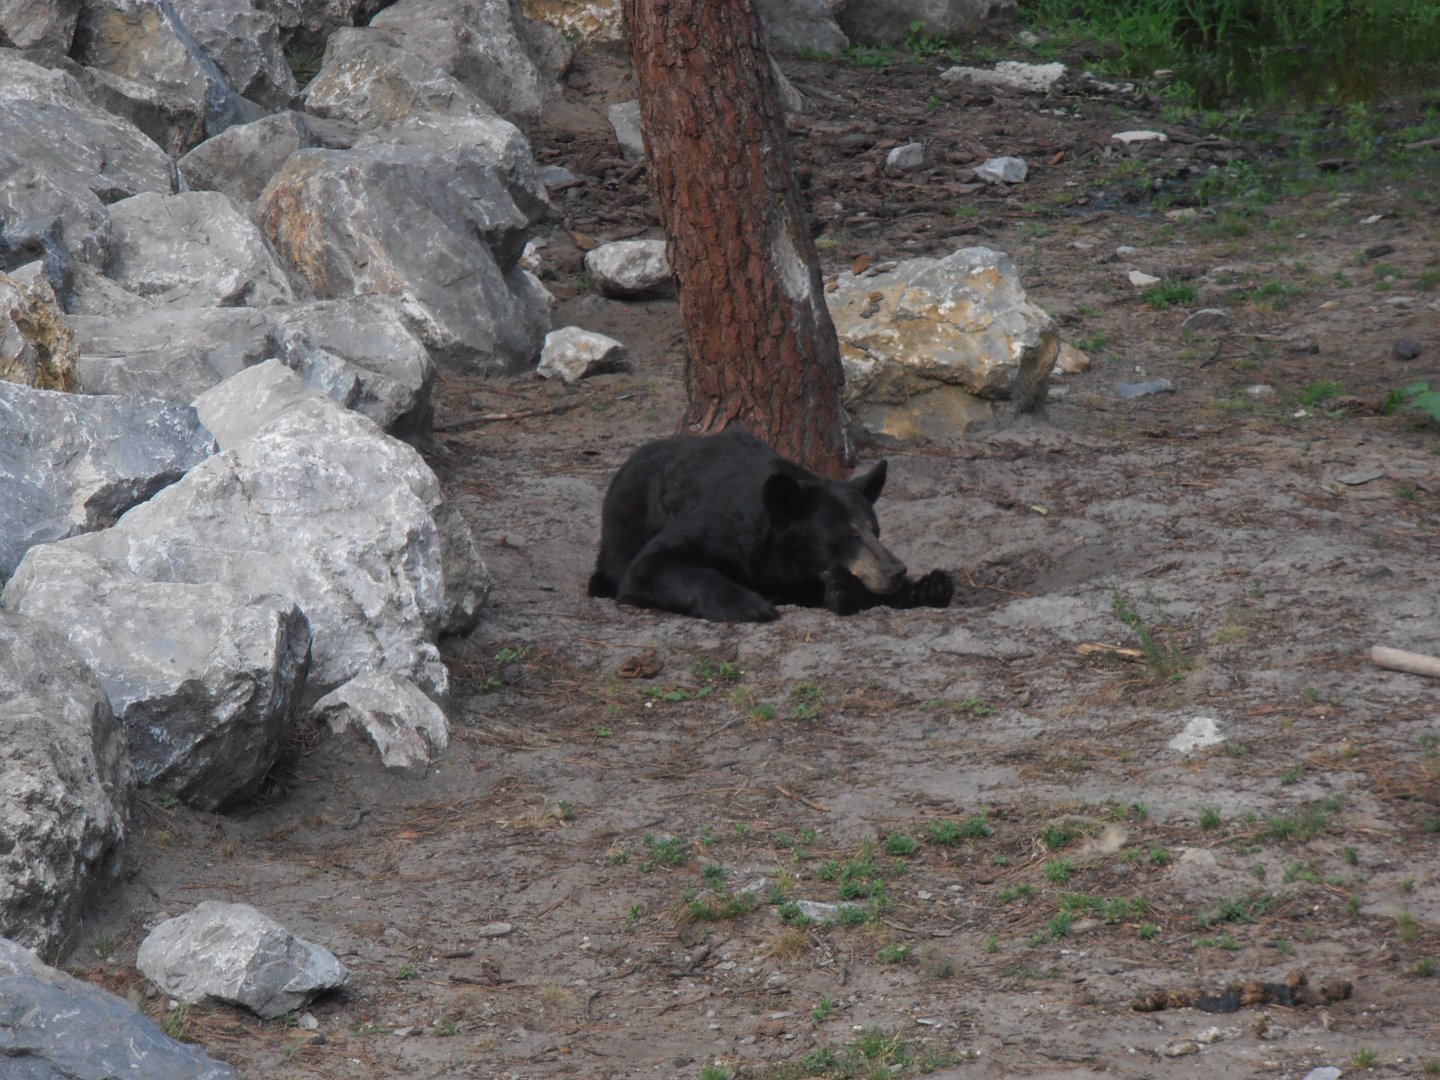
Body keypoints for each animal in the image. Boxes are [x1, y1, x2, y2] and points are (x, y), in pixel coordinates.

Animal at [587, 428, 953, 622]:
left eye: (875, 529)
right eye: (848, 535)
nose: (896, 570)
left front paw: (929, 586)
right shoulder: (717, 523)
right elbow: (652, 564)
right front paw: (752, 604)